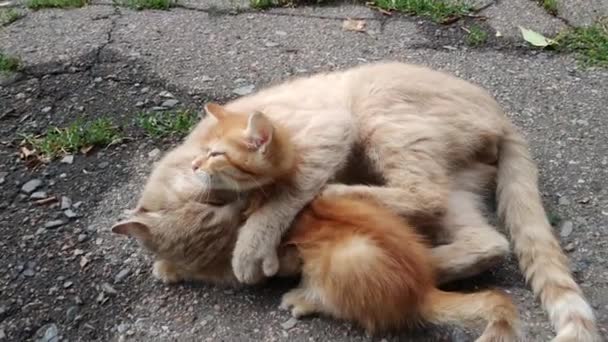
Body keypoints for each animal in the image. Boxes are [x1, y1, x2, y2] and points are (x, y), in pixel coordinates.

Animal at [175, 62, 592, 342]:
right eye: (200, 152)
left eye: (216, 154)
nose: (194, 166)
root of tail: (503, 117)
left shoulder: (332, 131)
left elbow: (286, 194)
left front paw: (251, 244)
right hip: (459, 188)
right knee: (488, 240)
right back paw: (430, 263)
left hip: (384, 116)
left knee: (426, 194)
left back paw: (342, 194)